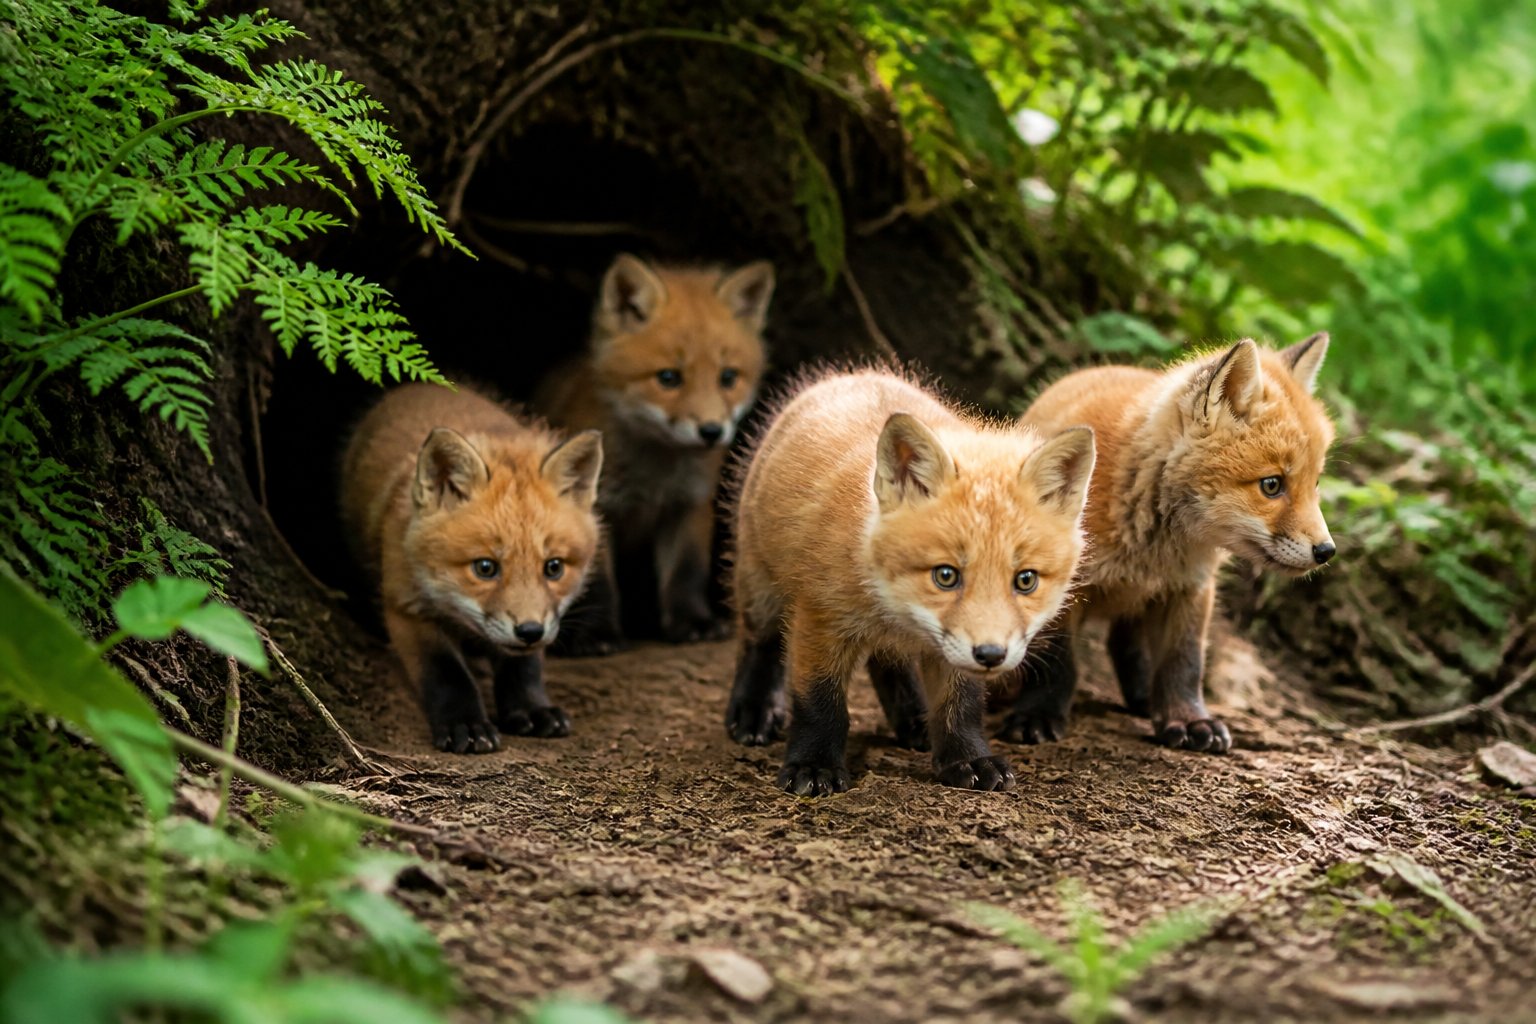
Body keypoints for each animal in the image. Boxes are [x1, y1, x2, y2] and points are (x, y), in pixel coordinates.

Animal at [340, 382, 603, 754]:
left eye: (553, 567)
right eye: (485, 567)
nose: (530, 631)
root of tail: (420, 386)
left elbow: (524, 668)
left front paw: (530, 709)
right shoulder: (407, 606)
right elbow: (446, 674)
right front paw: (464, 723)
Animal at [536, 253, 775, 651]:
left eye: (727, 377)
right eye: (668, 378)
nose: (711, 431)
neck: (654, 477)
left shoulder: (690, 503)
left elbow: (685, 573)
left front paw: (693, 622)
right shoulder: (595, 508)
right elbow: (596, 581)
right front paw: (597, 633)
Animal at [725, 369, 1097, 795]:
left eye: (1025, 580)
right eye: (946, 575)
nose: (990, 655)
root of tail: (856, 373)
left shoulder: (952, 654)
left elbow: (960, 705)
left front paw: (967, 758)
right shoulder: (819, 618)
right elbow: (821, 704)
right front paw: (814, 765)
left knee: (889, 665)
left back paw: (914, 721)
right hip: (759, 585)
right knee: (758, 644)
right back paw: (753, 711)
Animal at [998, 334, 1337, 754]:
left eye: (1315, 483)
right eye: (1272, 485)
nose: (1326, 551)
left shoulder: (1191, 586)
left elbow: (1183, 663)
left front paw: (1187, 720)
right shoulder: (1060, 581)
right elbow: (1056, 661)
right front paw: (1039, 714)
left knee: (1126, 645)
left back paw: (1145, 698)